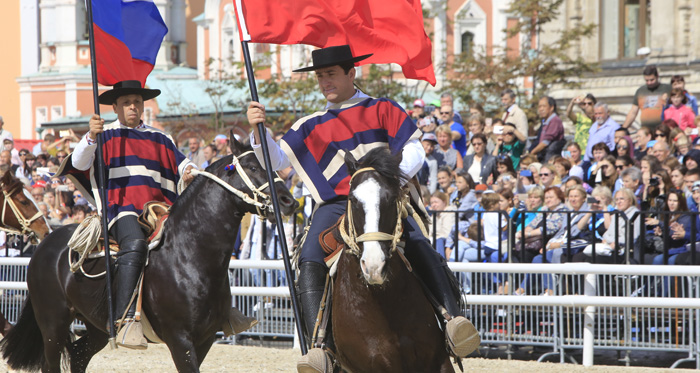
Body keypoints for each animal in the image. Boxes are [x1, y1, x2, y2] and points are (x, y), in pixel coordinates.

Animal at [0, 137, 298, 372]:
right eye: (252, 167)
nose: (289, 201)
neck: (190, 256)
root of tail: (47, 243)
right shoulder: (180, 340)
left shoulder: (205, 340)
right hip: (53, 325)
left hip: (96, 329)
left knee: (78, 357)